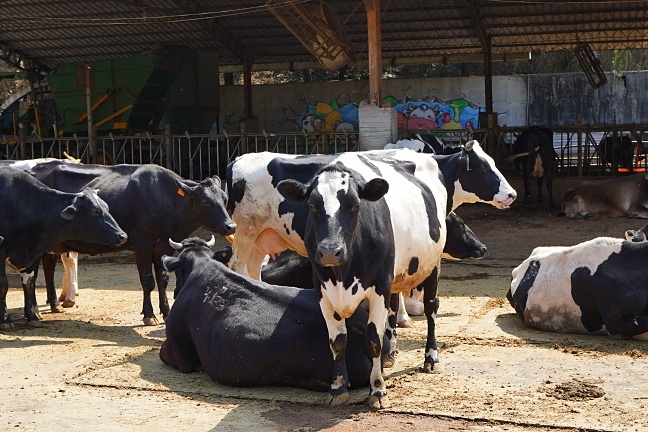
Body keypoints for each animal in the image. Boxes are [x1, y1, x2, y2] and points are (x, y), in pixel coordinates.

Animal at [0, 168, 128, 328]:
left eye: (107, 208)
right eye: (94, 211)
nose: (122, 235)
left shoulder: (31, 252)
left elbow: (29, 283)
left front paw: (32, 316)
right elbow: (3, 285)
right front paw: (5, 320)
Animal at [27, 160, 238, 326]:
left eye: (224, 198)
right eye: (206, 202)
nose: (231, 226)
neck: (165, 199)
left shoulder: (164, 247)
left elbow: (163, 280)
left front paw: (166, 312)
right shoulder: (141, 244)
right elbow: (148, 281)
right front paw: (149, 315)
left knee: (48, 267)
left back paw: (55, 304)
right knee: (33, 272)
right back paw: (35, 312)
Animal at [227, 149, 446, 408]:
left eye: (355, 204)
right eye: (312, 205)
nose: (330, 251)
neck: (344, 274)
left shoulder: (379, 286)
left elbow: (373, 339)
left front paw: (378, 390)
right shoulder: (323, 289)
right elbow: (337, 340)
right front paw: (338, 387)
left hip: (432, 265)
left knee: (430, 310)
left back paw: (430, 358)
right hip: (248, 233)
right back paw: (392, 352)